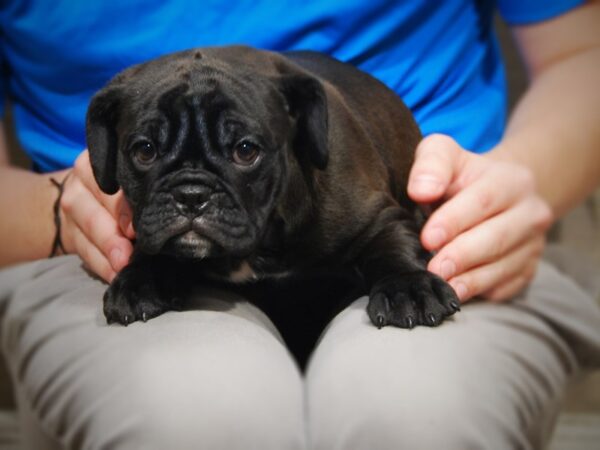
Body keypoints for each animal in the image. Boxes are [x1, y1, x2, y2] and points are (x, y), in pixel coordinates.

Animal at [85, 44, 460, 326]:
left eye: (245, 150)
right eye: (145, 151)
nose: (191, 195)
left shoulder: (378, 217)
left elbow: (393, 246)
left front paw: (408, 287)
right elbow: (151, 248)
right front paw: (140, 280)